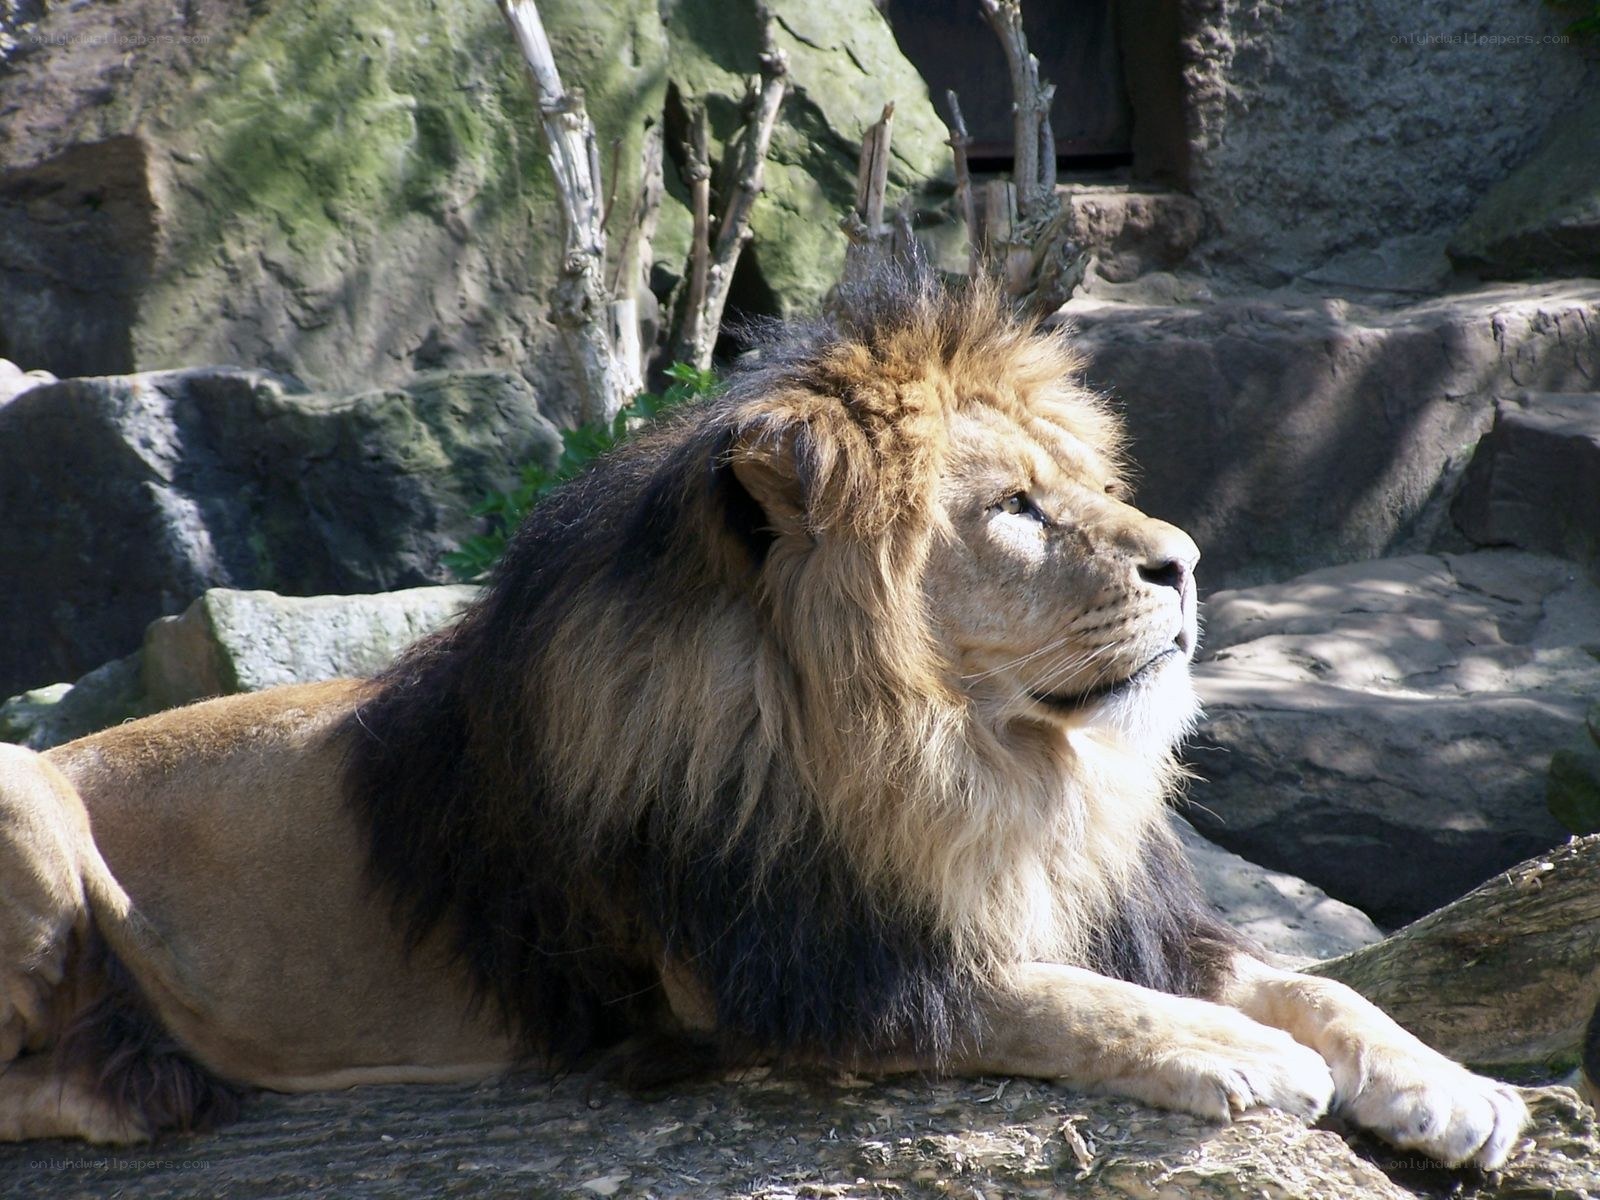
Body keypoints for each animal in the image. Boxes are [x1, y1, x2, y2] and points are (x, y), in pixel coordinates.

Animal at [0, 274, 1526, 1167]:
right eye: (1015, 511)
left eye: (1084, 487)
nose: (1188, 562)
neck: (957, 759)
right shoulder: (774, 973)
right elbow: (1043, 996)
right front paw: (1233, 1054)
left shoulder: (1103, 902)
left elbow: (1312, 980)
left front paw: (1451, 1086)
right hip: (24, 795)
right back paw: (137, 1085)